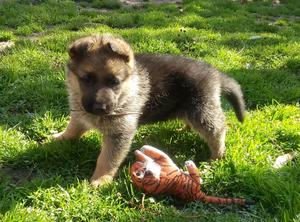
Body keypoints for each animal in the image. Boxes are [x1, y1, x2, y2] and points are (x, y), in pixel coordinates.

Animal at [54, 33, 245, 186]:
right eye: (86, 79)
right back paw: (182, 130)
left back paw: (217, 156)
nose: (99, 108)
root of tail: (215, 73)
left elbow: (107, 158)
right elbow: (72, 128)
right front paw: (59, 138)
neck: (126, 91)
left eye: (114, 82)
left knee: (218, 129)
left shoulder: (119, 133)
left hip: (201, 110)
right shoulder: (80, 115)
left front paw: (101, 179)